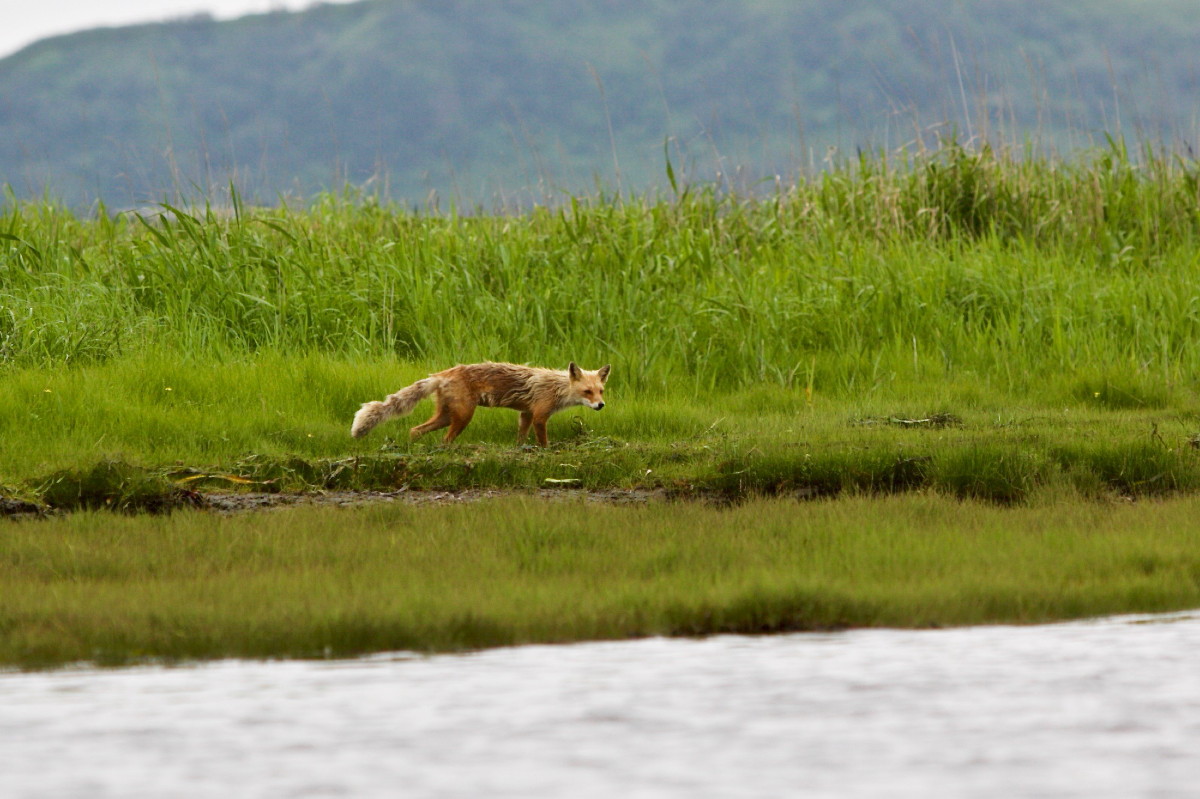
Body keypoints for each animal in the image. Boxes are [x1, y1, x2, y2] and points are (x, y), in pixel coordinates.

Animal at [348, 362, 609, 443]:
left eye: (601, 391)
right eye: (587, 392)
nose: (601, 406)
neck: (557, 387)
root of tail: (441, 374)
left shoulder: (525, 414)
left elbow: (521, 439)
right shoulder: (539, 416)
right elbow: (543, 441)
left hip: (446, 416)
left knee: (415, 430)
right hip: (463, 417)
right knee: (445, 440)